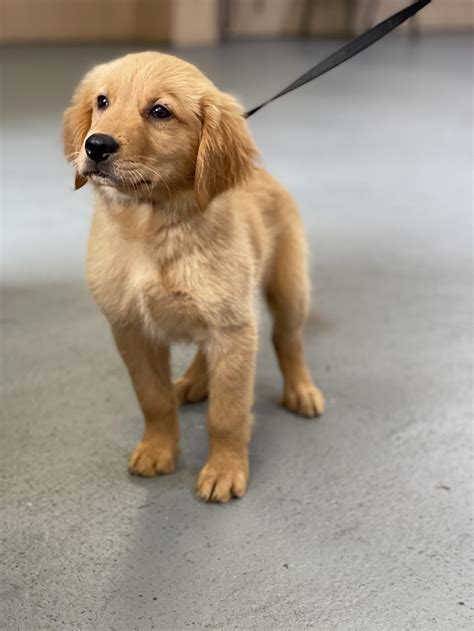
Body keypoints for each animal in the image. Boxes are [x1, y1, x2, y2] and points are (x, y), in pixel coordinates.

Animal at [63, 50, 324, 504]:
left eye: (160, 111)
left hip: (289, 288)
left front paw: (225, 469)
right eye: (102, 102)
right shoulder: (131, 328)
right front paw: (158, 449)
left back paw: (300, 390)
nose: (95, 145)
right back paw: (194, 382)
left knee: (287, 341)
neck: (151, 224)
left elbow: (227, 412)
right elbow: (153, 398)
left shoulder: (232, 326)